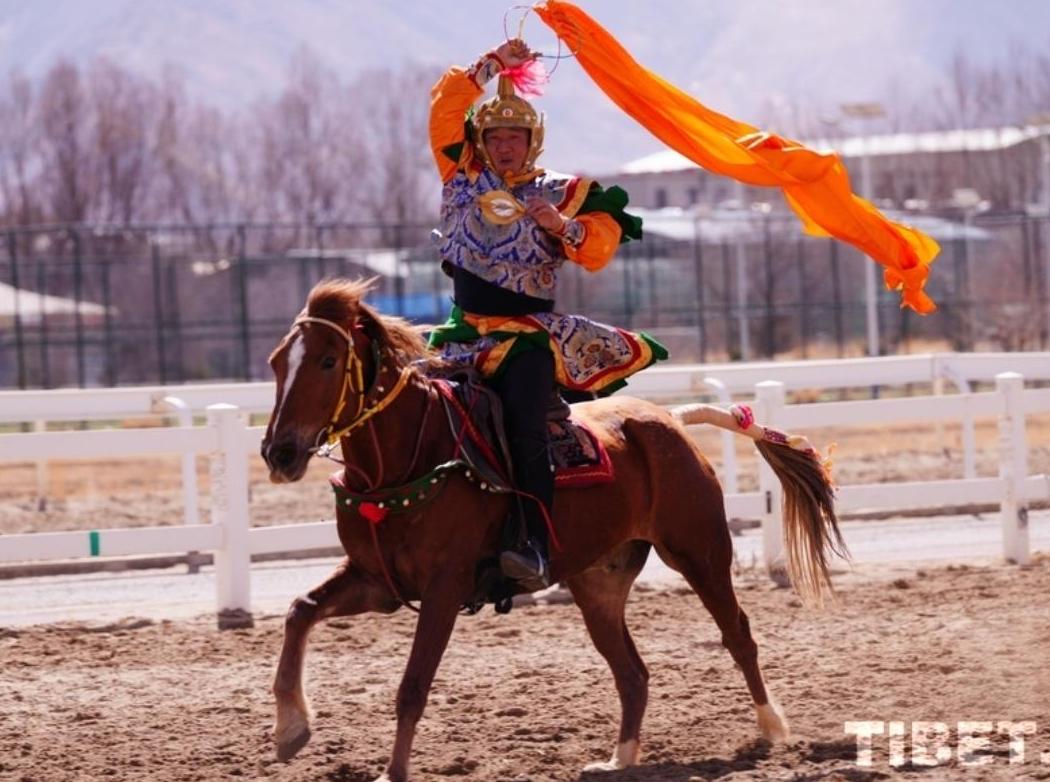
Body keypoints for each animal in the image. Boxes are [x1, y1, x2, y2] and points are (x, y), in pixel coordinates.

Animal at [262, 279, 844, 780]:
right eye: (275, 363)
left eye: (328, 360)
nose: (279, 453)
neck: (411, 457)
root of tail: (670, 420)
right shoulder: (376, 581)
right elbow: (300, 612)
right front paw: (291, 729)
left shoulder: (444, 588)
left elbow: (413, 684)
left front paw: (393, 771)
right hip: (598, 583)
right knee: (632, 673)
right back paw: (619, 759)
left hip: (699, 551)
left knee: (738, 635)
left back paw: (772, 728)